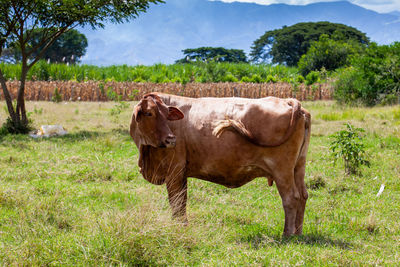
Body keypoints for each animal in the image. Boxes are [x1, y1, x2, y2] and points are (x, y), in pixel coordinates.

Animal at [130, 92, 310, 237]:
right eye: (149, 113)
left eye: (167, 114)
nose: (170, 139)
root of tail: (289, 101)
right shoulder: (181, 174)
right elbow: (181, 201)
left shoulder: (174, 170)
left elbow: (176, 202)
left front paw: (178, 227)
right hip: (298, 166)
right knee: (302, 196)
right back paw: (298, 232)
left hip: (282, 170)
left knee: (290, 198)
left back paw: (287, 234)